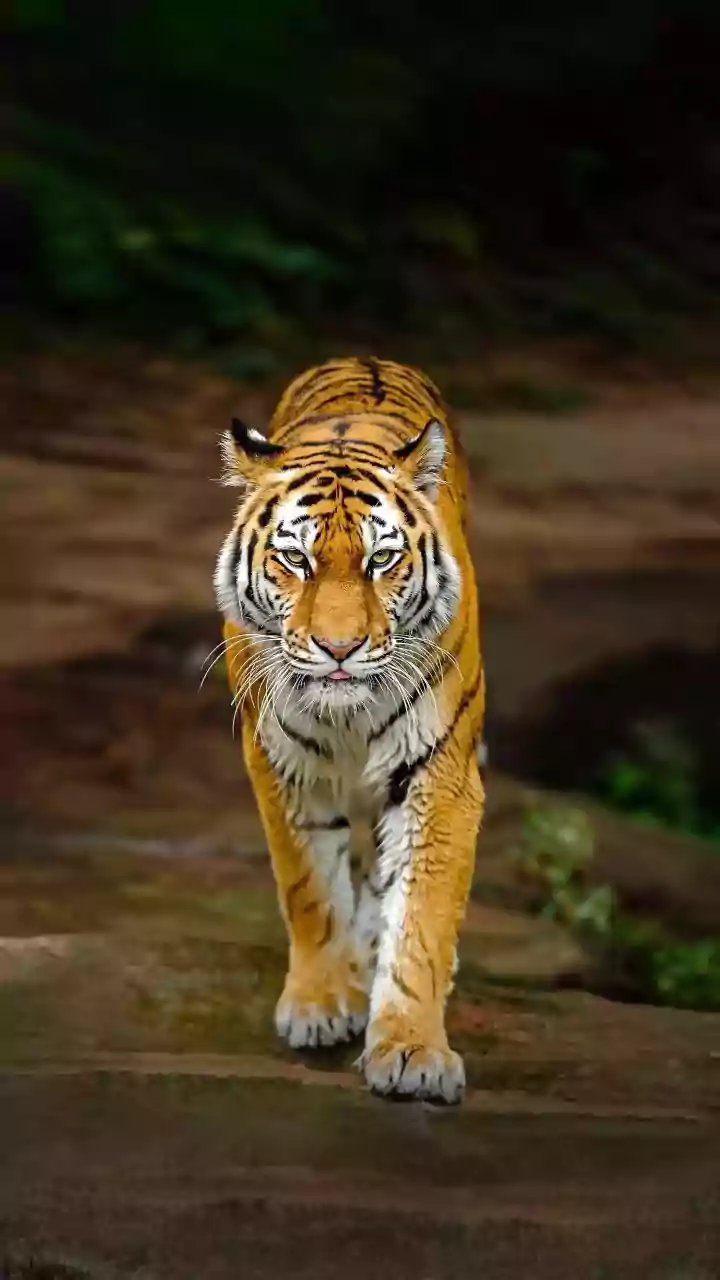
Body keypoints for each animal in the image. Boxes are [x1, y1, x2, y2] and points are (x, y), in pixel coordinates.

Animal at [214, 356, 485, 1103]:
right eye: (296, 561)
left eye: (380, 561)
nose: (339, 647)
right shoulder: (282, 765)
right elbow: (308, 887)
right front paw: (318, 1004)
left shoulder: (441, 775)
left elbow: (421, 917)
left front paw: (413, 1051)